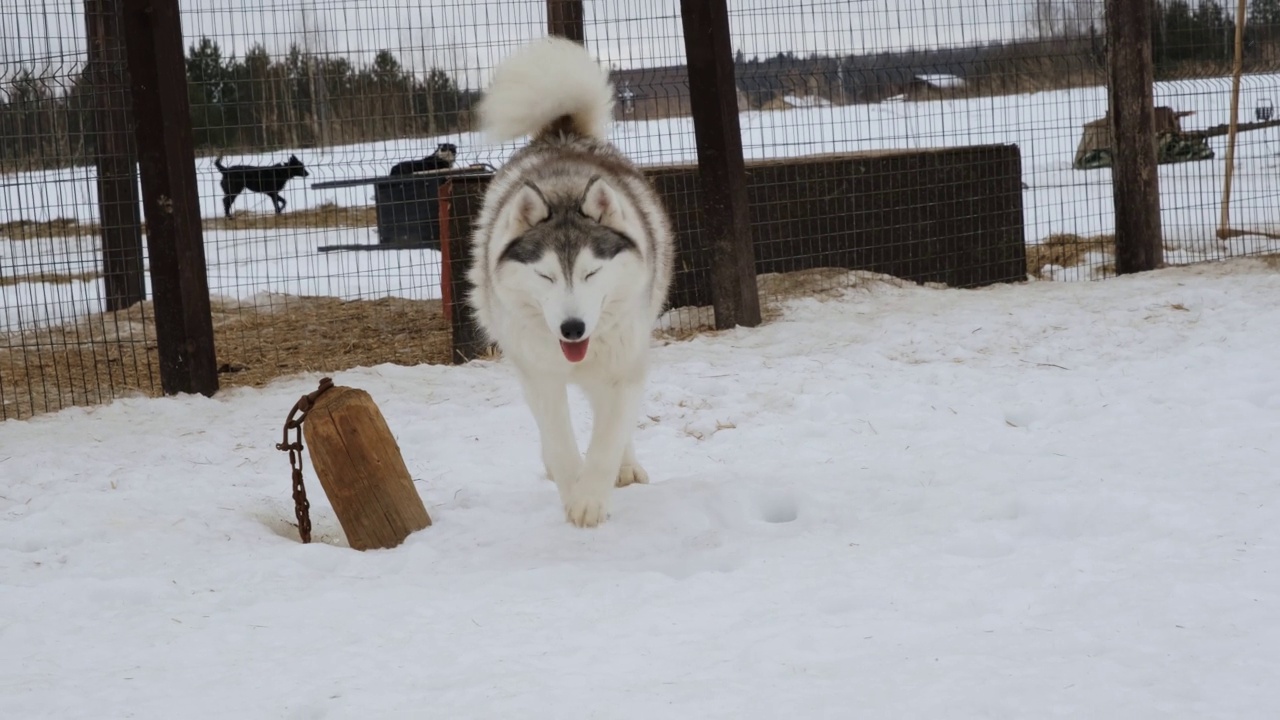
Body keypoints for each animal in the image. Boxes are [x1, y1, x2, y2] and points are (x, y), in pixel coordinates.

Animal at [465, 36, 675, 527]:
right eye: (545, 274)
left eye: (590, 272)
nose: (573, 329)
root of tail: (562, 133)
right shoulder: (540, 374)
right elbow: (560, 442)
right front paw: (572, 485)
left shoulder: (622, 366)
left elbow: (608, 437)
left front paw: (591, 497)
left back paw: (626, 466)